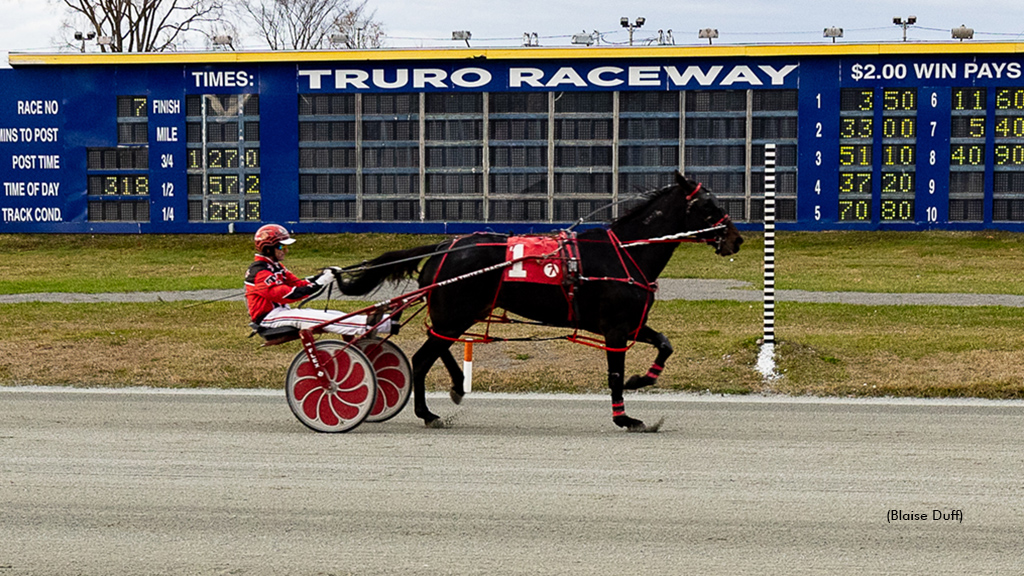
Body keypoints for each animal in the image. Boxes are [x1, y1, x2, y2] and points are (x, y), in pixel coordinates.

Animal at [344, 172, 745, 428]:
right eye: (708, 205)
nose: (736, 239)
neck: (625, 252)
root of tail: (445, 247)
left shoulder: (631, 323)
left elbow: (664, 345)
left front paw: (640, 380)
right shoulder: (615, 329)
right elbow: (614, 374)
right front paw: (624, 416)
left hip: (460, 313)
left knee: (437, 346)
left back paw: (457, 385)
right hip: (456, 311)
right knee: (423, 357)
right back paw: (428, 413)